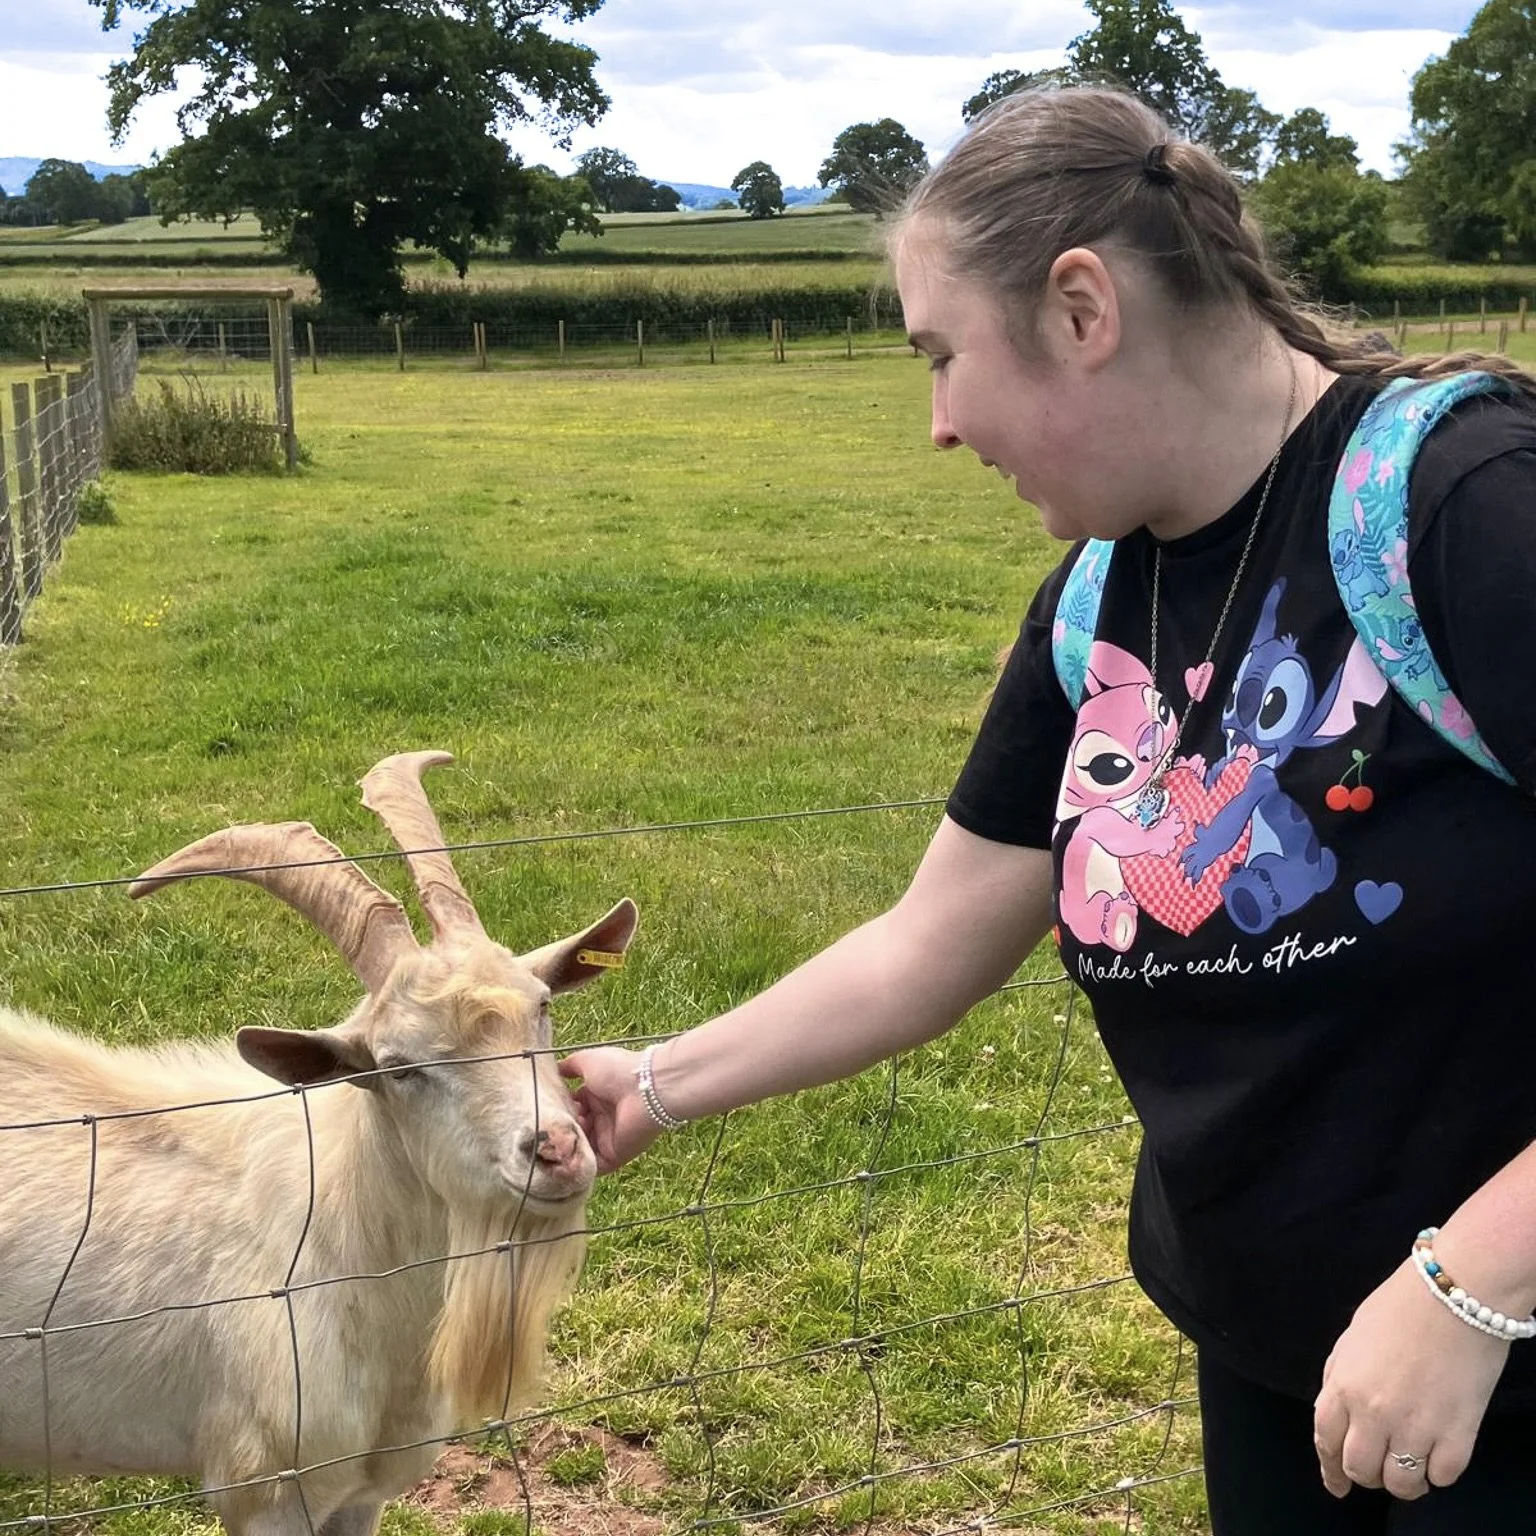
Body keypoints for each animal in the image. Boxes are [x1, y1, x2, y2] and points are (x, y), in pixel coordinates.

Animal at [0, 751, 634, 1536]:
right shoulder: (269, 1489)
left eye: (541, 1008)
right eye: (398, 1066)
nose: (555, 1151)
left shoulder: (363, 1490)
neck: (338, 1235)